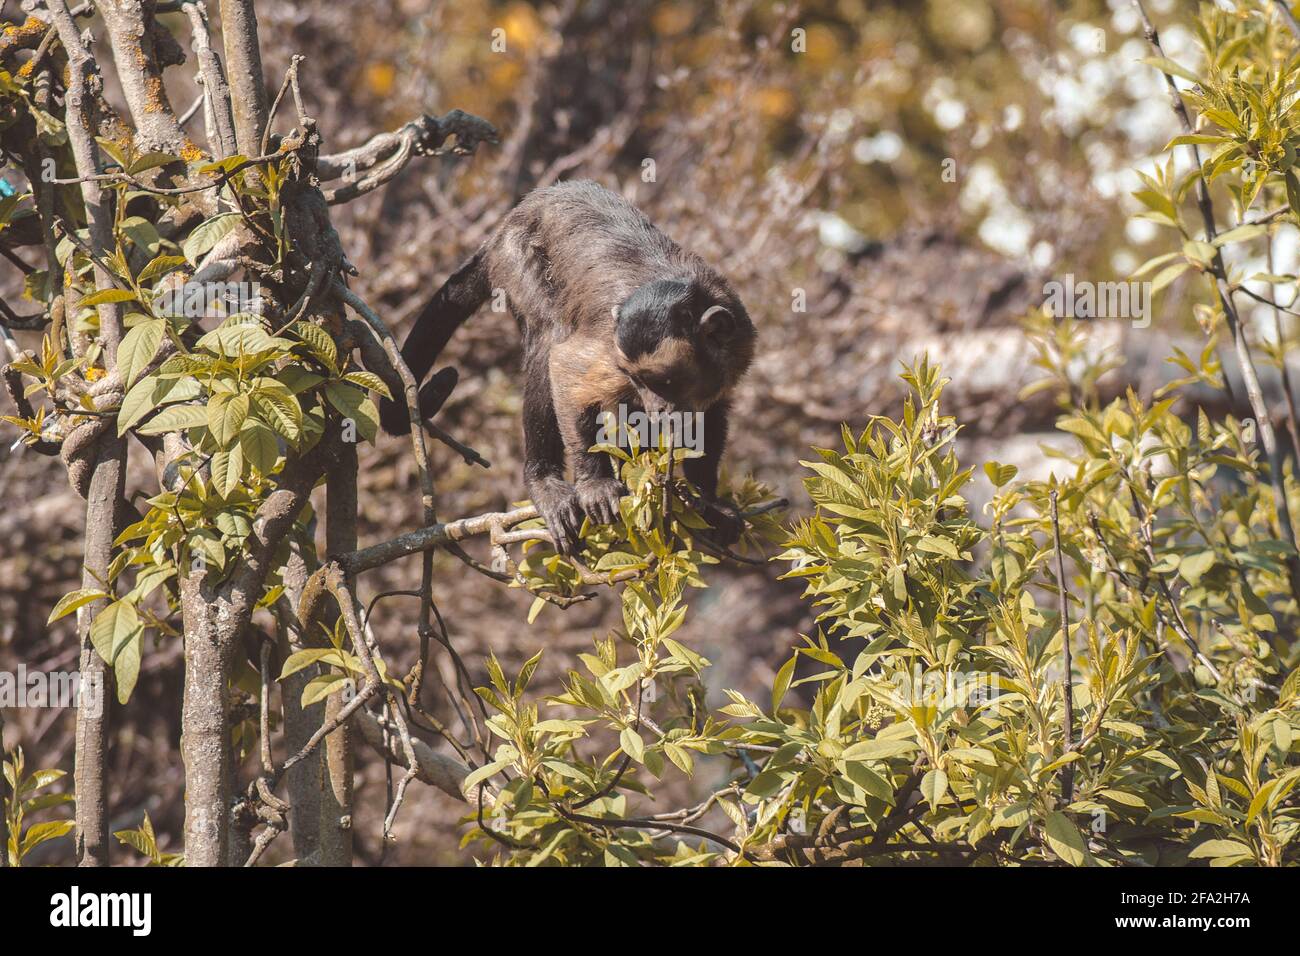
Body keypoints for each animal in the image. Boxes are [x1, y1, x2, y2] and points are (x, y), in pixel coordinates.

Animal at [377, 180, 759, 554]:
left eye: (664, 381)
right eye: (638, 380)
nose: (656, 409)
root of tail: (509, 220)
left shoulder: (738, 344)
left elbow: (710, 412)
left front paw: (709, 499)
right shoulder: (612, 348)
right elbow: (562, 367)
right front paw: (595, 483)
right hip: (515, 254)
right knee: (548, 337)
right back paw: (543, 480)